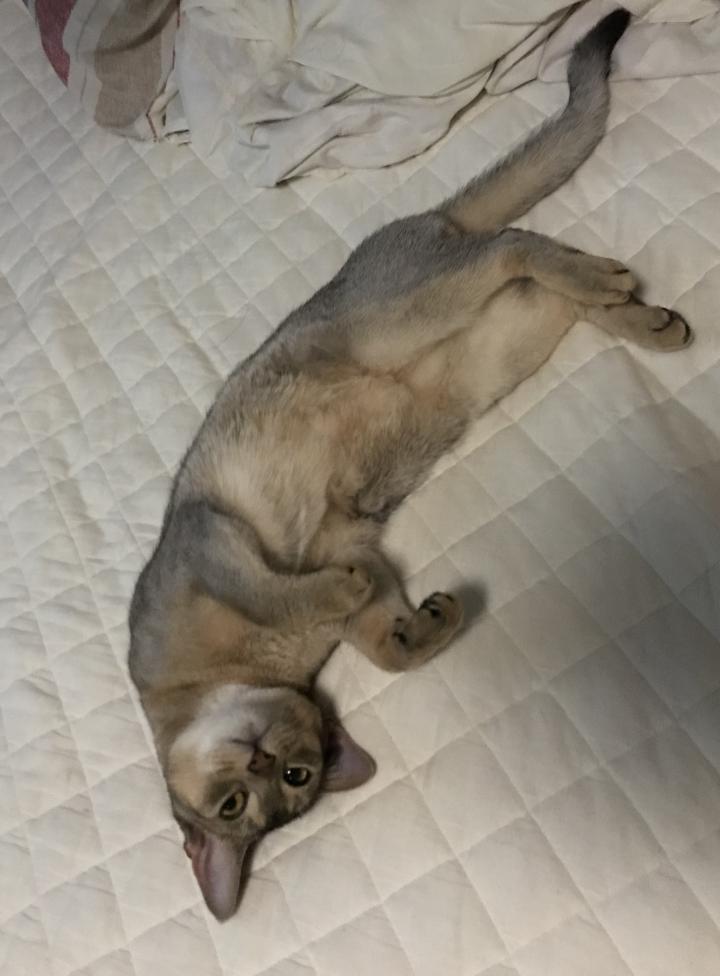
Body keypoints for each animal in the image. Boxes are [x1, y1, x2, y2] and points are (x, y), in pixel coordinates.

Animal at [128, 7, 691, 921]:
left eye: (270, 785)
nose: (261, 758)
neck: (256, 665)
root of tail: (416, 228)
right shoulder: (350, 541)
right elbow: (383, 641)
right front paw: (425, 622)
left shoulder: (203, 540)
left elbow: (273, 583)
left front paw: (342, 596)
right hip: (500, 344)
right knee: (543, 287)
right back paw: (644, 318)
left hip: (399, 314)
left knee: (512, 245)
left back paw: (603, 277)